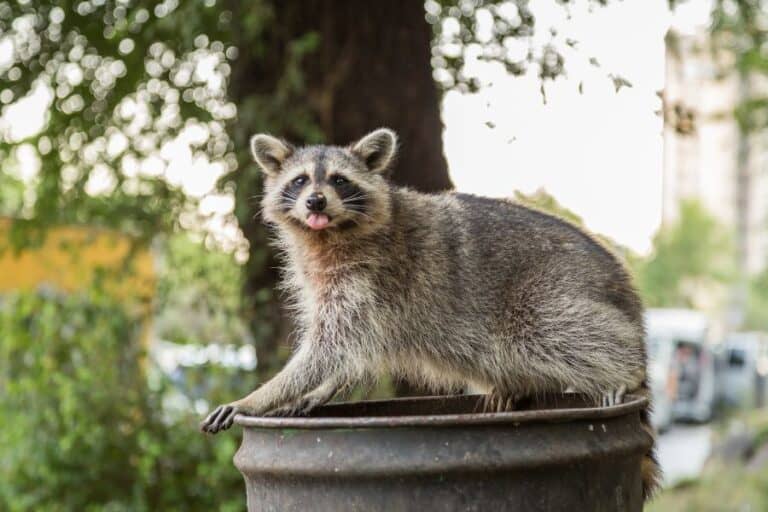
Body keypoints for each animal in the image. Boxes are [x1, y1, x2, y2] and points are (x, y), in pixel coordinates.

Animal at [200, 128, 661, 499]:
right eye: (299, 181)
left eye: (338, 180)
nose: (315, 200)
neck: (329, 235)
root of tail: (624, 288)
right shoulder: (339, 287)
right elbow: (348, 352)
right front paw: (317, 391)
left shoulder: (370, 279)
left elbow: (331, 349)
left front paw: (261, 395)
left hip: (552, 287)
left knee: (552, 330)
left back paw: (624, 369)